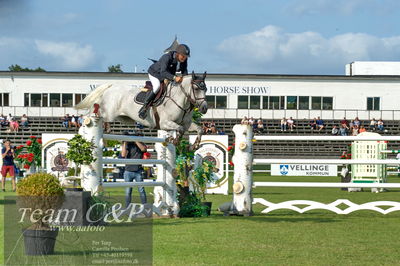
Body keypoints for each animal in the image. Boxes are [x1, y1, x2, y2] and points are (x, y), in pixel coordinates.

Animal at [74, 70, 209, 141]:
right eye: (196, 89)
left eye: (206, 89)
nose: (204, 108)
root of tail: (111, 86)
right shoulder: (165, 123)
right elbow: (180, 129)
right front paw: (175, 140)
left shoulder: (186, 123)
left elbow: (198, 129)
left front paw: (195, 145)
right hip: (107, 114)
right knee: (92, 115)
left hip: (122, 117)